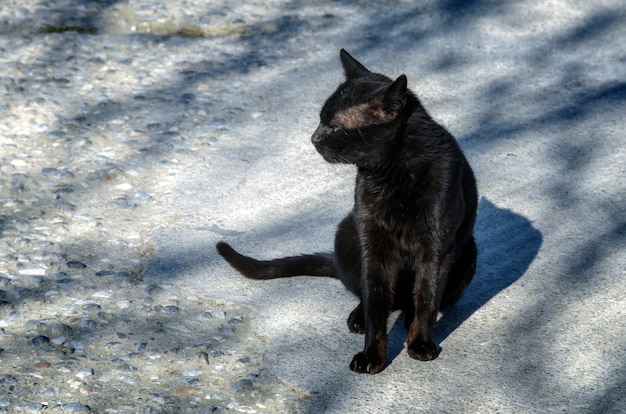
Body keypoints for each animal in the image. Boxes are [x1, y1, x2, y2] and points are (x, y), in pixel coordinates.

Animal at [217, 49, 476, 376]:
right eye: (319, 121)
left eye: (335, 127)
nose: (313, 138)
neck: (393, 174)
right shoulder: (373, 244)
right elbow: (376, 303)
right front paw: (371, 356)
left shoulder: (437, 249)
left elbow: (427, 300)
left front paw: (419, 344)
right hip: (347, 232)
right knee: (371, 295)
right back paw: (358, 317)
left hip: (467, 257)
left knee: (410, 301)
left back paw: (406, 319)